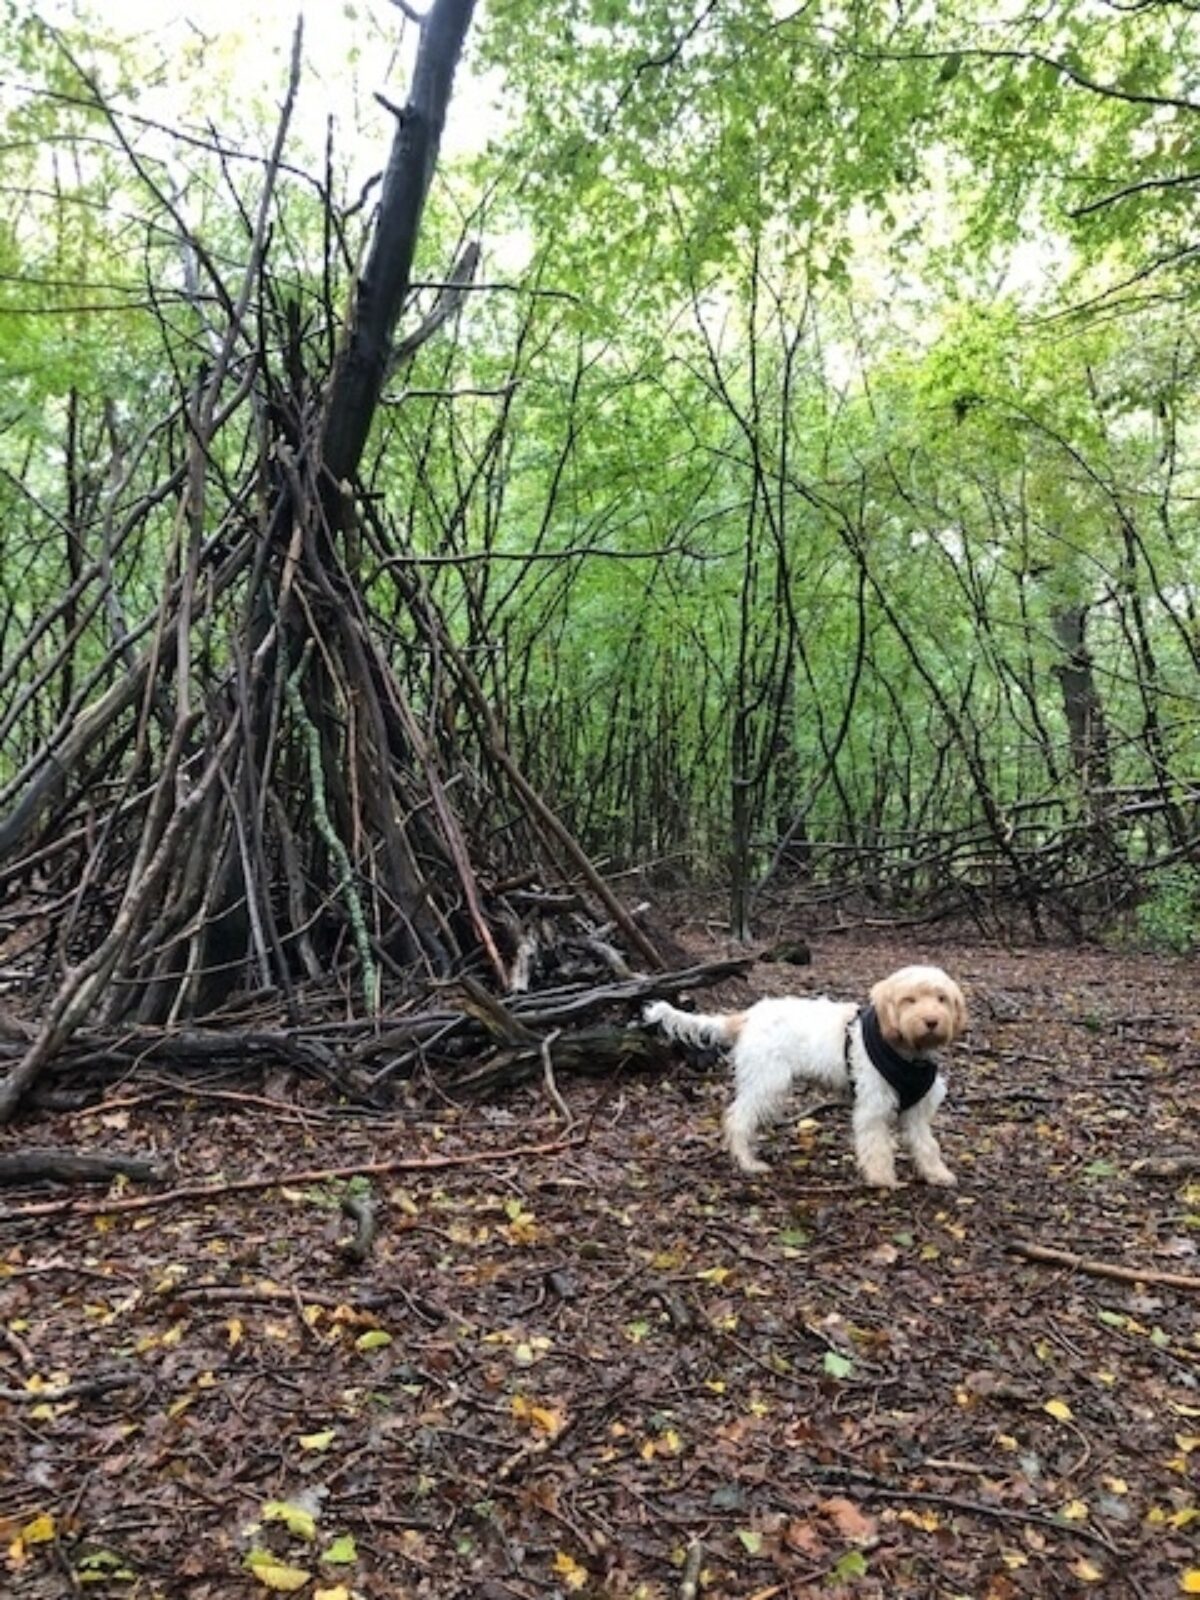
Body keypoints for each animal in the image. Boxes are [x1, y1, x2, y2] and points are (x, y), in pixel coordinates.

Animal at [643, 960, 972, 1190]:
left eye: (941, 999)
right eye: (909, 1000)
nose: (931, 1021)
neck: (907, 1054)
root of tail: (749, 1015)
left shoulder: (917, 1109)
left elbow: (927, 1144)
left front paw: (937, 1174)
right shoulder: (873, 1106)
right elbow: (876, 1144)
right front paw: (882, 1179)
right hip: (768, 1082)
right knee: (738, 1119)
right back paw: (748, 1163)